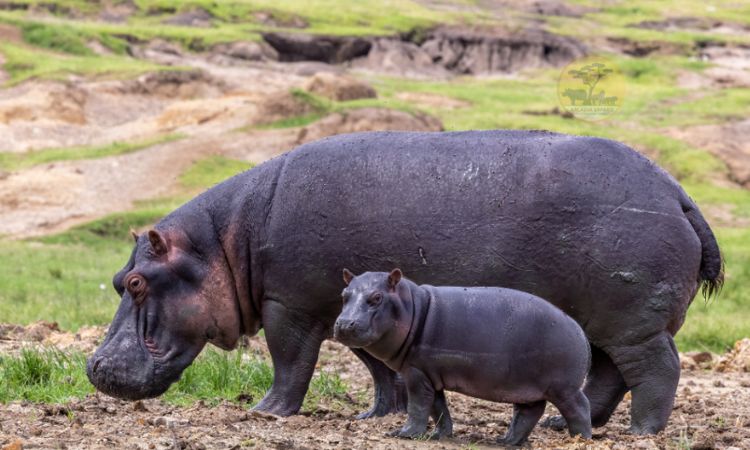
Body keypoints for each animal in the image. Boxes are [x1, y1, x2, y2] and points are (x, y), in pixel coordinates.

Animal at [334, 268, 592, 444]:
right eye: (344, 294)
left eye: (377, 297)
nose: (345, 324)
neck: (412, 308)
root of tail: (581, 333)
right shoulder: (429, 375)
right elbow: (438, 408)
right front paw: (440, 435)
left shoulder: (416, 373)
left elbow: (418, 406)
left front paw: (403, 434)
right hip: (528, 388)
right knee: (528, 413)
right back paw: (505, 441)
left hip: (563, 388)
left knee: (580, 408)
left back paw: (580, 439)